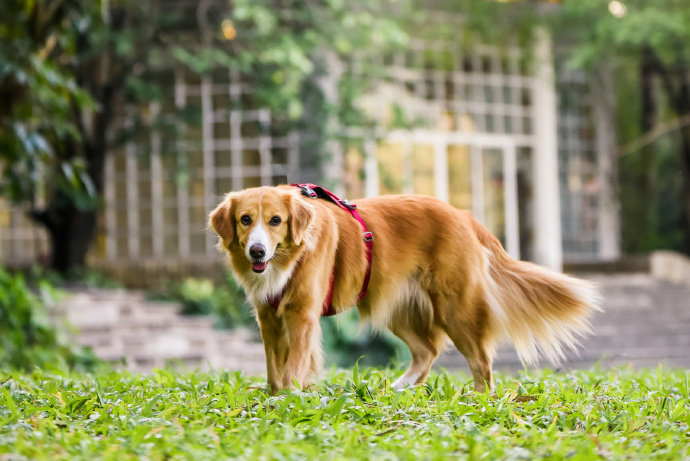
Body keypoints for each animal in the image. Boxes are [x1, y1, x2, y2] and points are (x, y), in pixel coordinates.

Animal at [208, 183, 596, 392]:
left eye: (276, 221)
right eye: (245, 220)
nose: (257, 251)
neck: (288, 258)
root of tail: (463, 216)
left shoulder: (302, 316)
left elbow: (292, 368)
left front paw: (290, 400)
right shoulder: (269, 320)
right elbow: (275, 370)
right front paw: (276, 400)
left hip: (455, 307)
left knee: (481, 360)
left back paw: (479, 398)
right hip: (397, 308)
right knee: (427, 352)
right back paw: (398, 388)